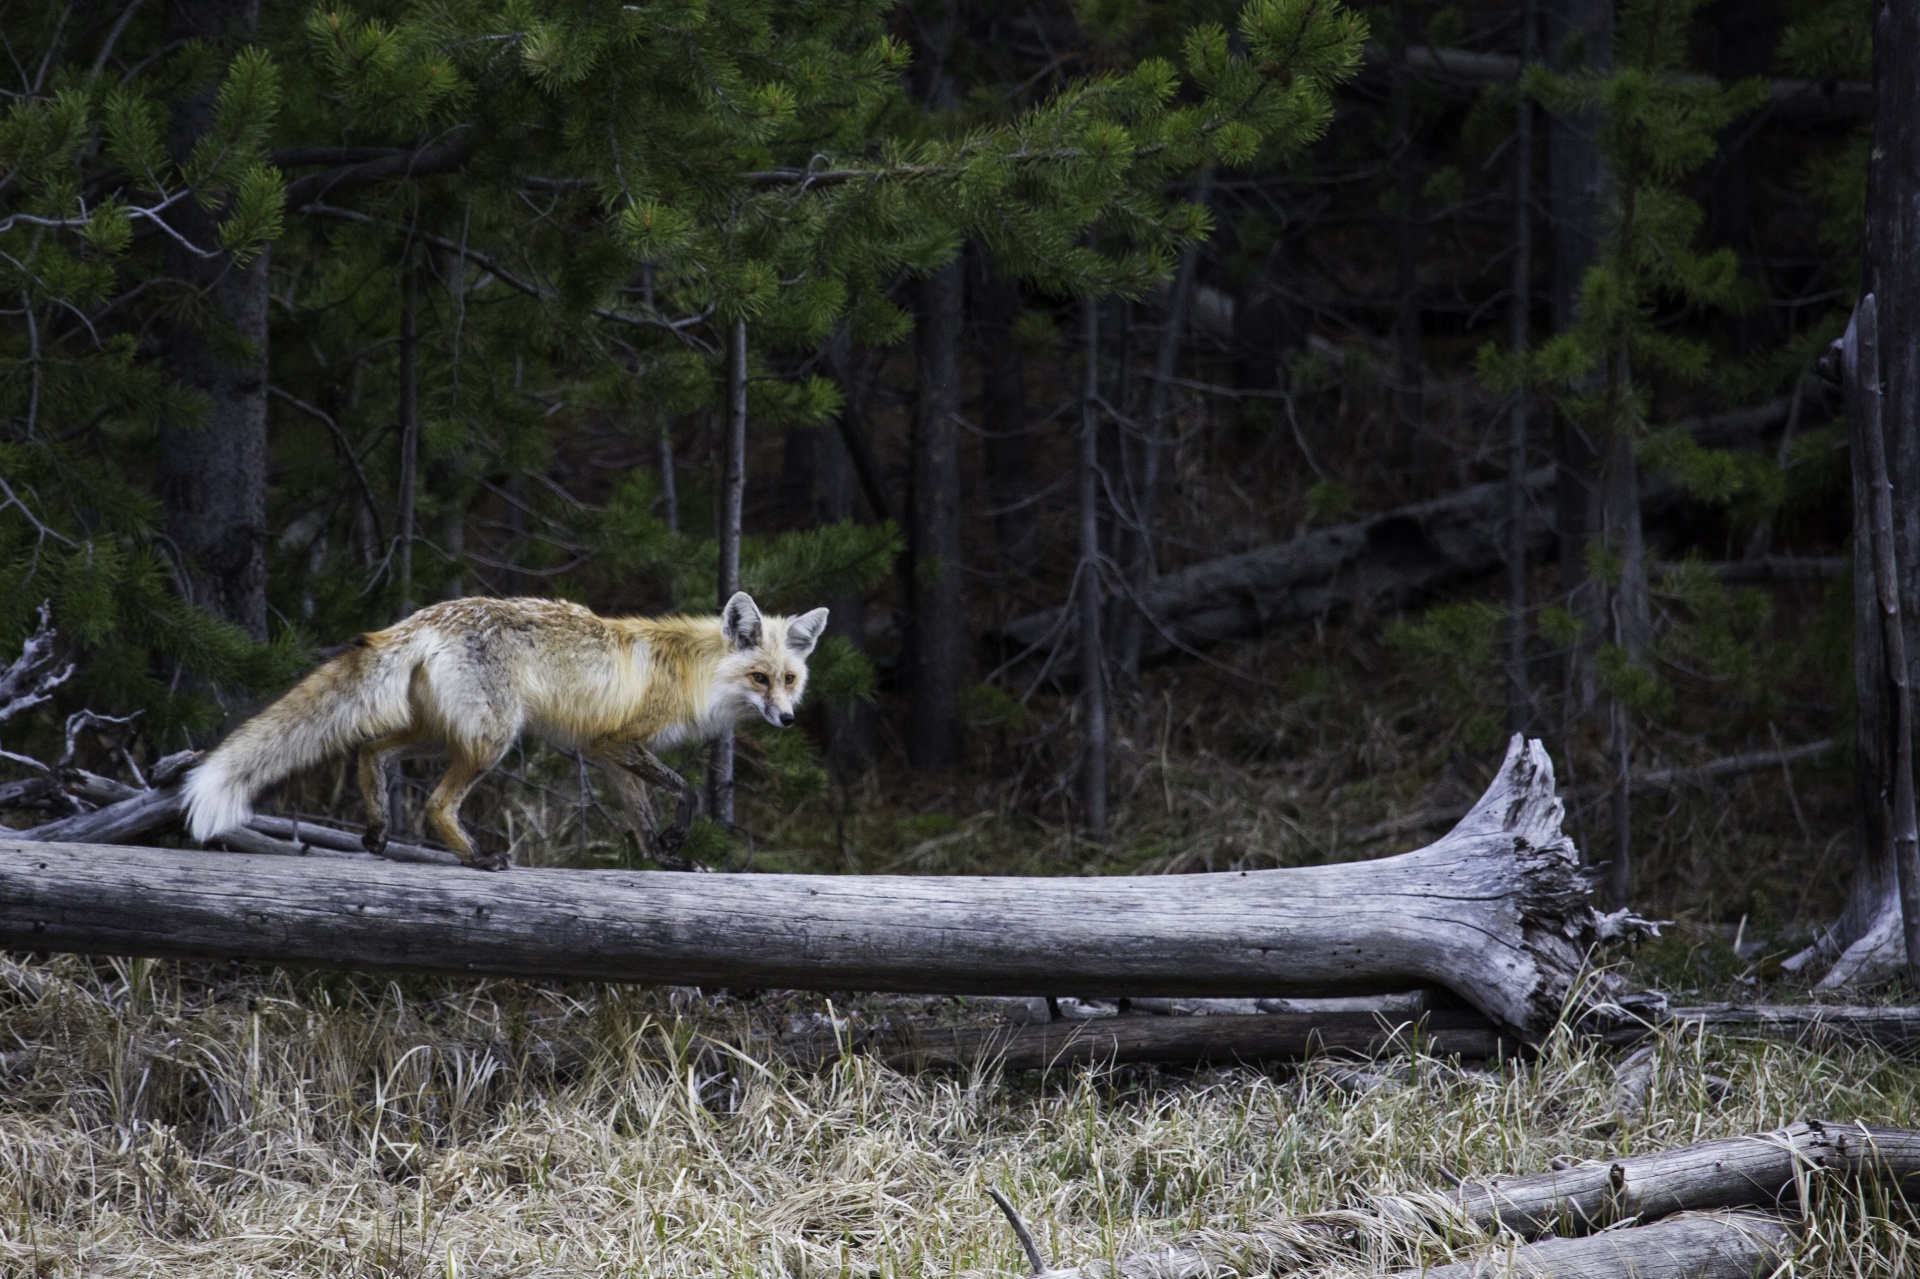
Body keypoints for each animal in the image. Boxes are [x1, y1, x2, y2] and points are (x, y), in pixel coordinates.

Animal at [181, 591, 833, 871]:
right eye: (760, 678)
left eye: (790, 679)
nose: (787, 718)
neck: (691, 672)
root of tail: (420, 619)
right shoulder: (616, 743)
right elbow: (686, 790)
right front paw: (677, 838)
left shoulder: (609, 757)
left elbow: (642, 816)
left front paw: (665, 858)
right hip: (491, 740)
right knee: (436, 805)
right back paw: (476, 858)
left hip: (439, 732)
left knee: (370, 752)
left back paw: (377, 829)